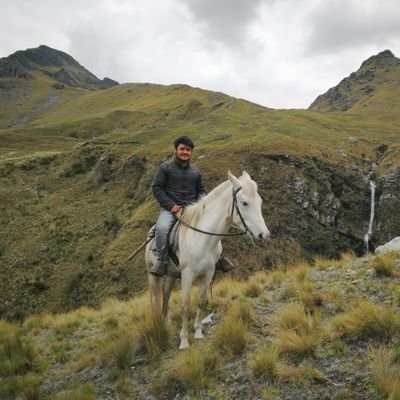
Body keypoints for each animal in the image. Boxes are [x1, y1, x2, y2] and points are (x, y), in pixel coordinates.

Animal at [145, 170, 270, 348]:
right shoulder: (188, 274)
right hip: (153, 273)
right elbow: (185, 305)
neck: (202, 238)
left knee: (166, 295)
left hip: (172, 275)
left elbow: (201, 301)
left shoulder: (208, 273)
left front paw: (197, 332)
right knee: (155, 298)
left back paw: (165, 321)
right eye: (244, 203)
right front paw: (184, 340)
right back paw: (157, 323)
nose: (263, 236)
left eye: (259, 202)